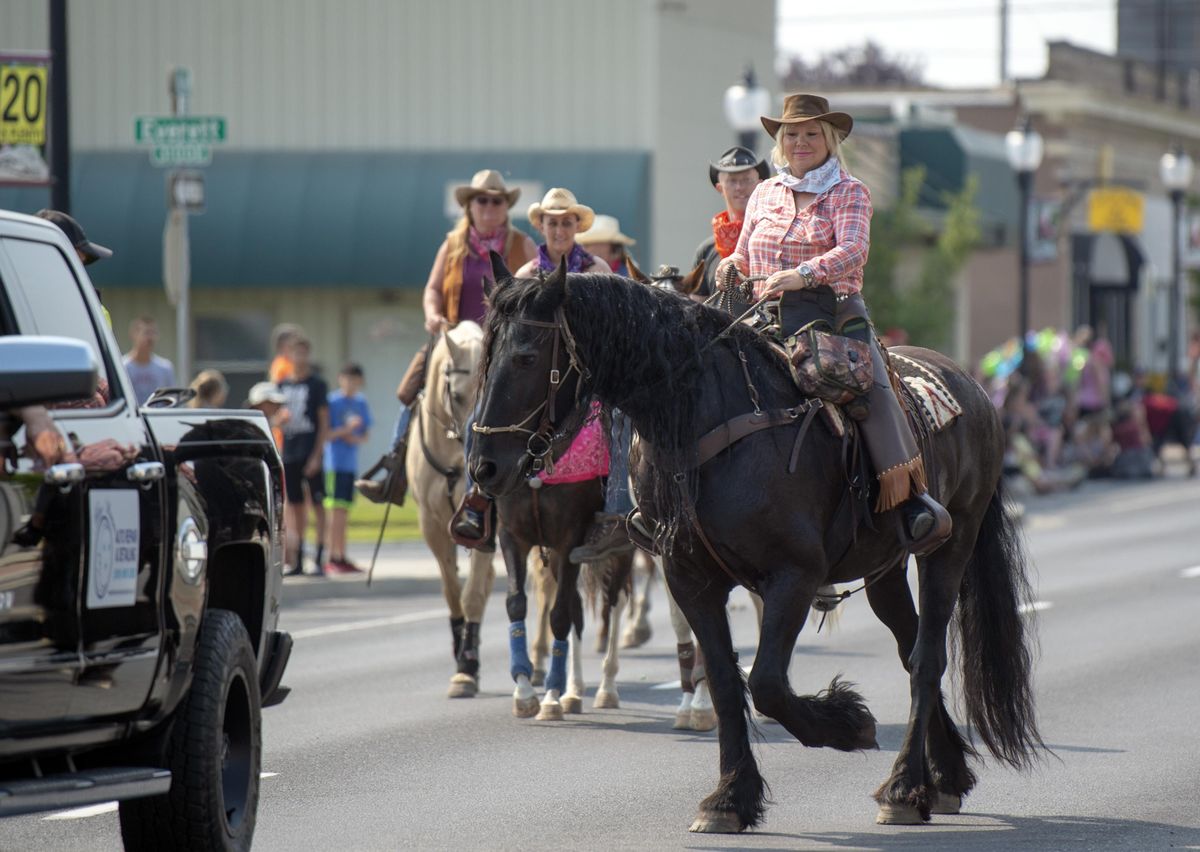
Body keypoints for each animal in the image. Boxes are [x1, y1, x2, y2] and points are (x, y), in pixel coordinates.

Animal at [468, 259, 1041, 835]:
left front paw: (847, 723)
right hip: (885, 568)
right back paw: (943, 777)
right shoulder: (689, 580)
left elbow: (765, 681)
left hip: (951, 543)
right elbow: (725, 682)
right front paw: (728, 799)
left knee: (926, 659)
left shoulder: (794, 575)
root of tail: (969, 384)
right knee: (909, 648)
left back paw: (903, 787)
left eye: (526, 357)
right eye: (485, 355)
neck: (711, 423)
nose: (484, 466)